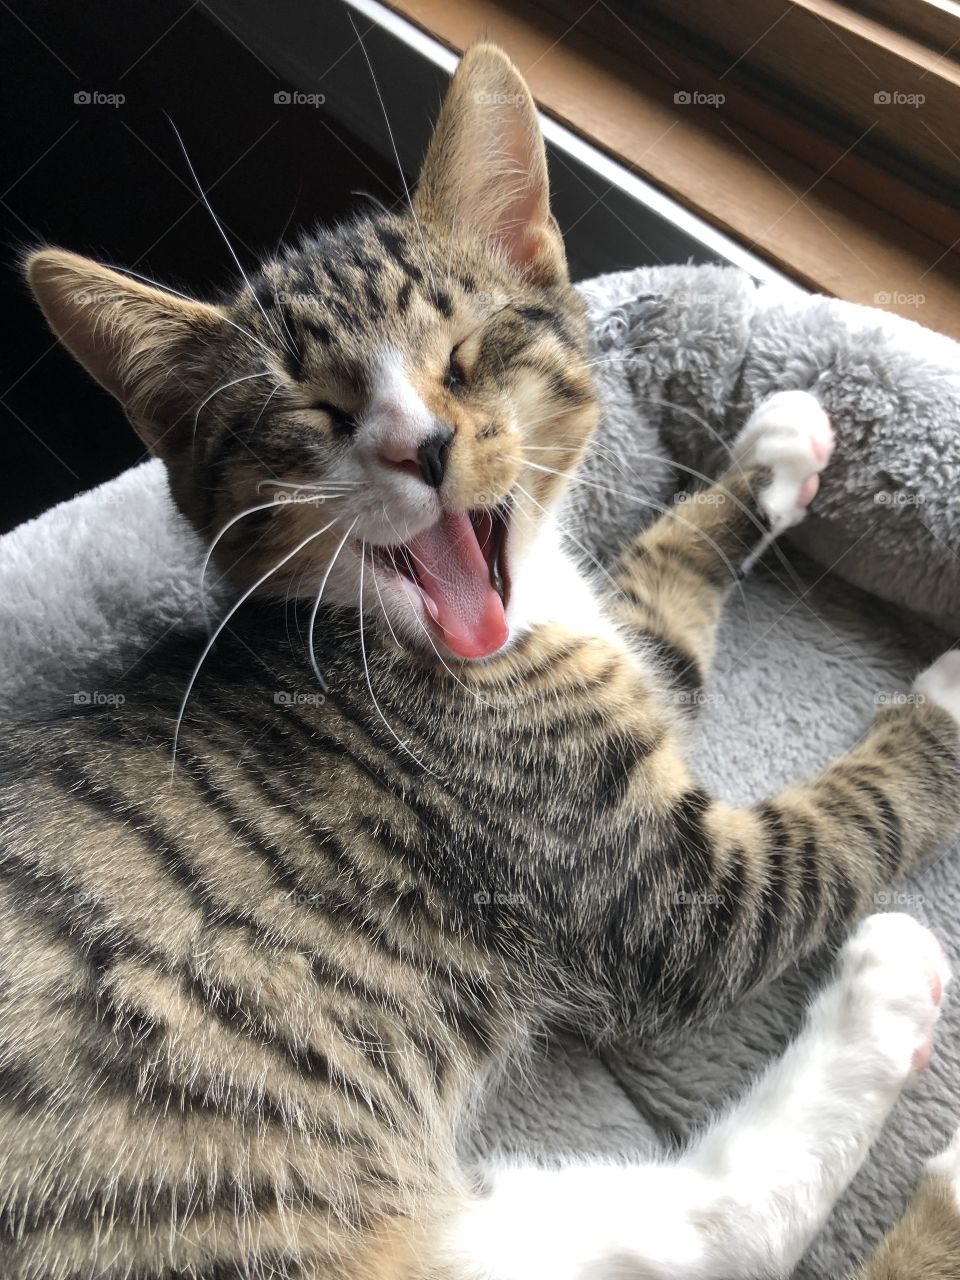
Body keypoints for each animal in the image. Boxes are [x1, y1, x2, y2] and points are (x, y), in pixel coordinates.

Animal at [5, 40, 960, 1280]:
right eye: (314, 412)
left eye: (468, 351)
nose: (422, 445)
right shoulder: (658, 886)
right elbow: (821, 838)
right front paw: (945, 702)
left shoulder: (613, 647)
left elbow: (660, 604)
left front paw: (775, 455)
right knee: (705, 1227)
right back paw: (888, 1018)